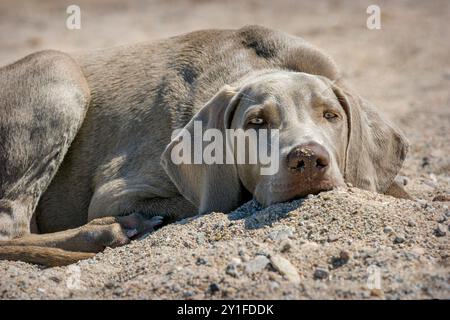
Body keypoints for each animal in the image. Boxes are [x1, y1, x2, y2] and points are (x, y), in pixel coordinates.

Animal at [0, 25, 408, 266]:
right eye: (256, 123)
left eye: (330, 116)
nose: (308, 159)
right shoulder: (115, 192)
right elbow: (216, 201)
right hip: (59, 69)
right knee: (10, 228)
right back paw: (107, 232)